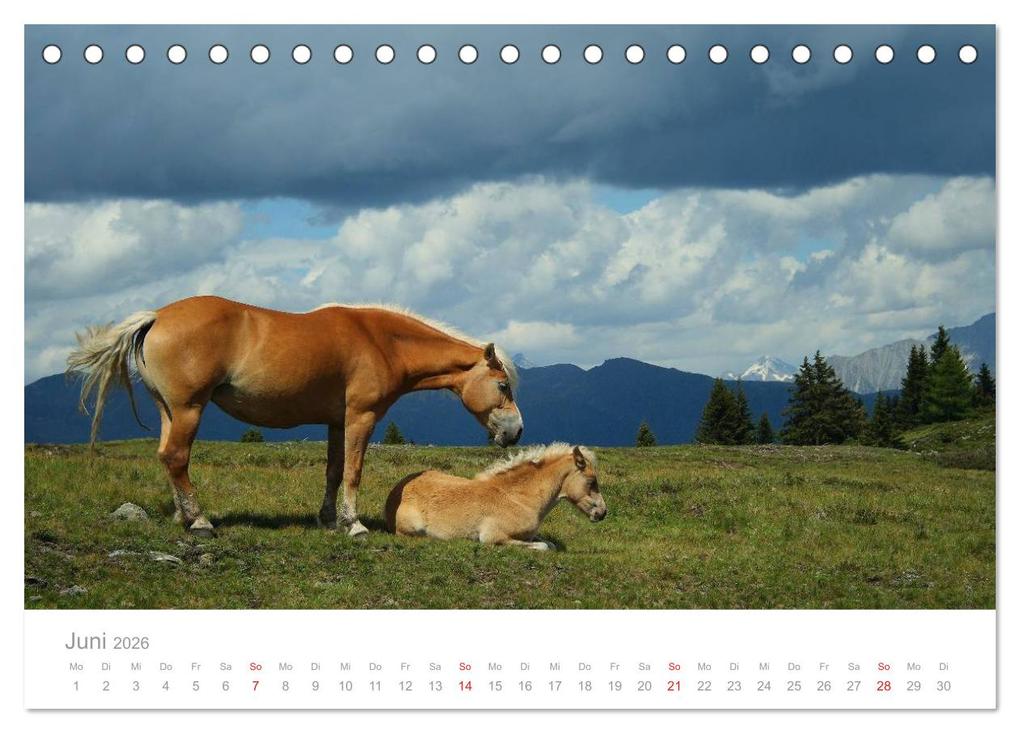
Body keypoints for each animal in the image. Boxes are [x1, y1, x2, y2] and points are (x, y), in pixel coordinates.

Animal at [66, 295, 523, 537]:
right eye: (503, 386)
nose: (517, 431)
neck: (380, 341)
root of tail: (157, 316)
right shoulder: (361, 417)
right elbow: (354, 471)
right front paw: (354, 525)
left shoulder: (337, 421)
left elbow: (334, 471)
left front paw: (329, 519)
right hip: (187, 410)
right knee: (177, 458)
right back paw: (199, 521)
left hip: (169, 411)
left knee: (166, 457)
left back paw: (183, 514)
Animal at [385, 444, 606, 549]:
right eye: (592, 481)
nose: (602, 513)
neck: (520, 499)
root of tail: (395, 492)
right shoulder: (493, 536)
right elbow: (544, 546)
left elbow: (548, 543)